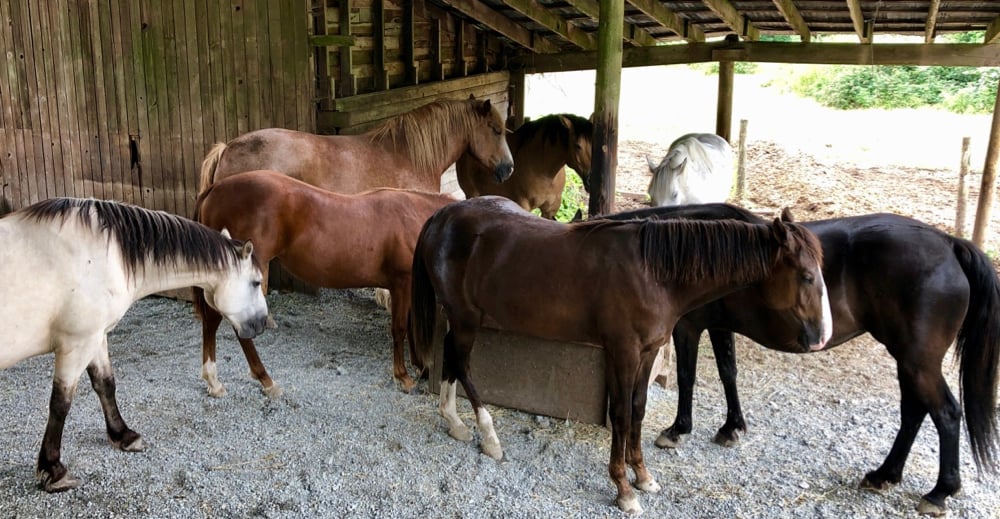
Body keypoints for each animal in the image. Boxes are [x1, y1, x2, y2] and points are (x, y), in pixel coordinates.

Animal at [192, 170, 458, 394]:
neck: (415, 218)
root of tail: (215, 189)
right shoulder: (401, 283)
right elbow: (401, 328)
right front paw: (402, 375)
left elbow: (412, 327)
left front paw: (420, 366)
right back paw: (264, 379)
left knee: (212, 319)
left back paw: (214, 381)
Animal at [408, 196, 836, 516]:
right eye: (806, 276)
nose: (821, 337)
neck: (653, 273)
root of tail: (442, 216)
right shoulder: (623, 352)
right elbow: (620, 414)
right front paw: (624, 489)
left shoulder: (646, 353)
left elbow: (638, 409)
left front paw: (643, 476)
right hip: (466, 318)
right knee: (463, 364)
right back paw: (489, 437)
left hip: (461, 318)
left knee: (451, 359)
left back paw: (454, 422)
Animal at [456, 112, 592, 218]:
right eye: (578, 146)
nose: (590, 181)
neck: (545, 173)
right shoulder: (523, 206)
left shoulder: (550, 210)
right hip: (472, 193)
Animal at [600, 203, 1000, 516]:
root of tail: (949, 244)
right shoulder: (720, 326)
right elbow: (729, 372)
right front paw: (732, 427)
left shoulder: (689, 326)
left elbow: (687, 376)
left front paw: (678, 429)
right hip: (907, 359)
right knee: (915, 412)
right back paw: (884, 474)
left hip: (918, 362)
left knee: (946, 413)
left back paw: (939, 492)